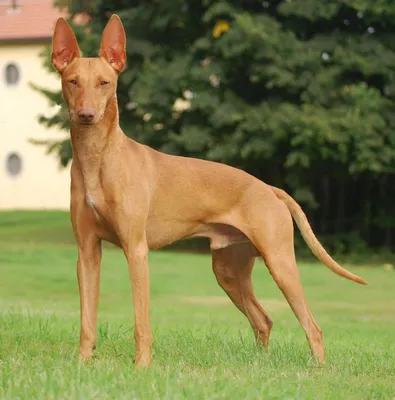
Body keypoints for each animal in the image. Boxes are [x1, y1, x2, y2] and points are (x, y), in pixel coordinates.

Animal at [50, 14, 368, 366]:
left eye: (104, 82)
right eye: (73, 81)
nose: (86, 115)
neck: (98, 158)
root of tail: (269, 188)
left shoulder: (137, 250)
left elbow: (141, 322)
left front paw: (141, 366)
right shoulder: (87, 252)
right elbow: (87, 320)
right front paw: (82, 364)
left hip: (280, 262)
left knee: (313, 327)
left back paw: (317, 370)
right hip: (228, 270)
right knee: (263, 319)